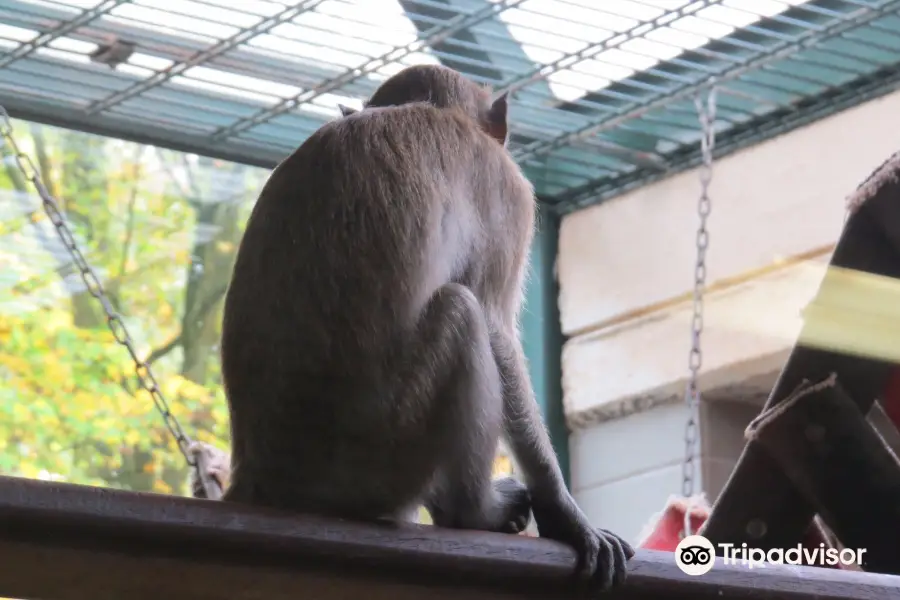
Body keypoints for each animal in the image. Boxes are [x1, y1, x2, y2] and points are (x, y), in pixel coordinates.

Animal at [221, 64, 632, 592]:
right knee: (463, 313)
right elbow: (496, 325)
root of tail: (261, 473)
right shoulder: (508, 190)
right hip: (384, 451)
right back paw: (472, 512)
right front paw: (564, 513)